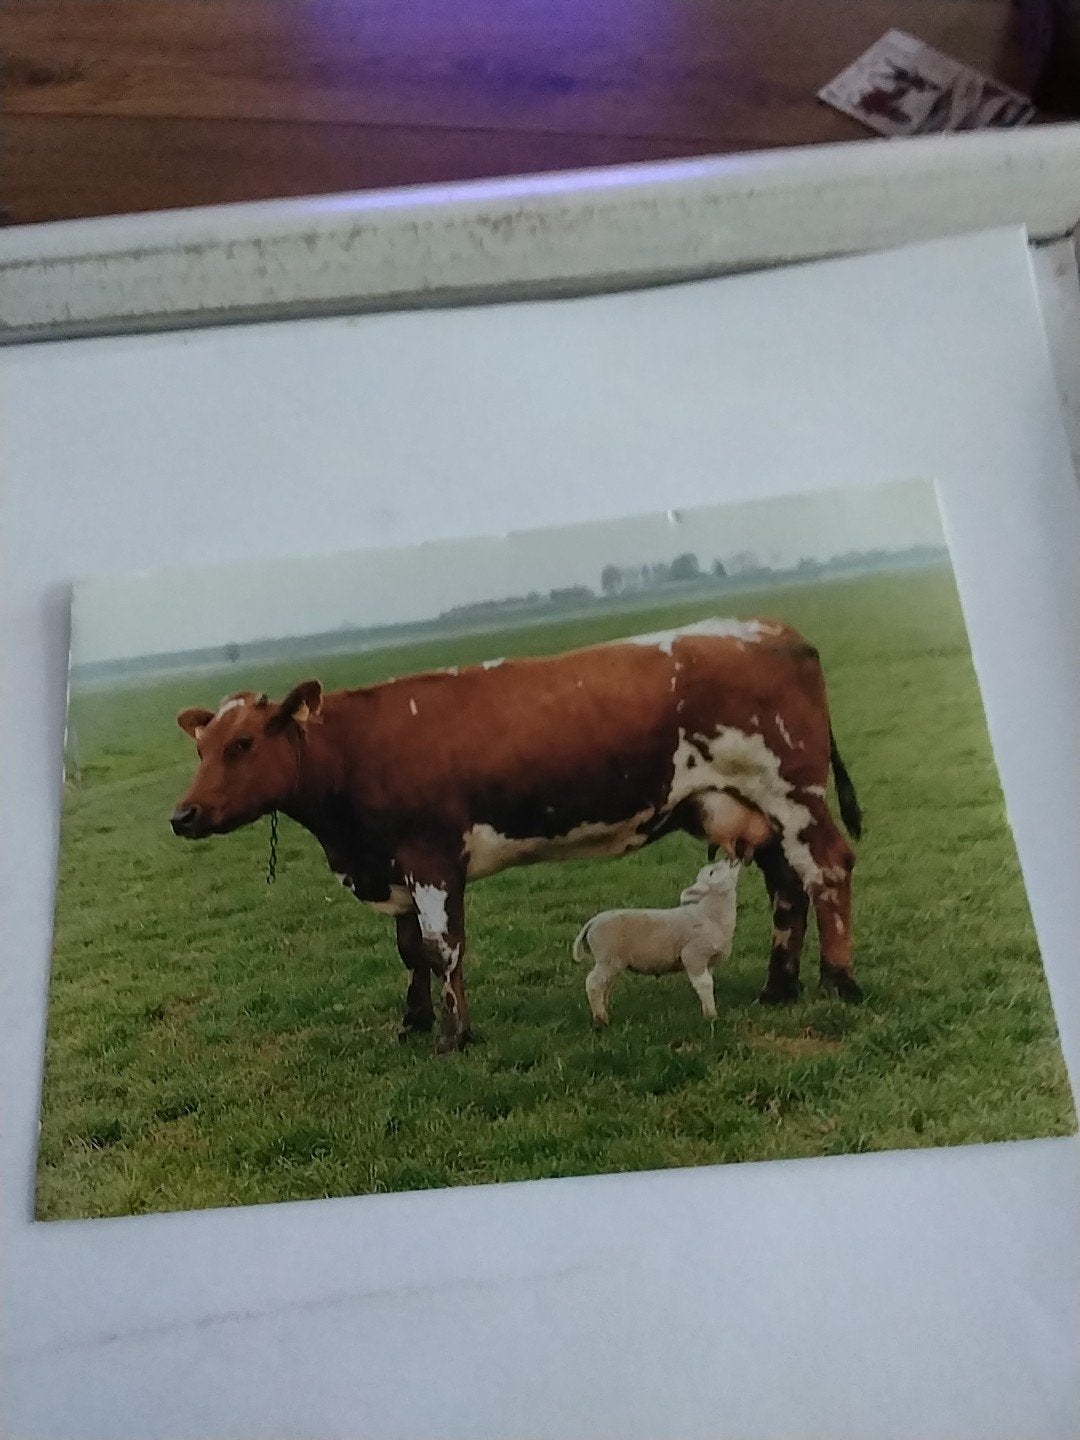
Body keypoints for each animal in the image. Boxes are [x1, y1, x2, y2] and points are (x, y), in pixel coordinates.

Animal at [170, 618, 863, 1052]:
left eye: (243, 742)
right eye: (201, 746)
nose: (182, 816)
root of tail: (769, 628)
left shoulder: (430, 857)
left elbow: (443, 948)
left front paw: (455, 1037)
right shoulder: (393, 867)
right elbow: (409, 950)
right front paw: (413, 1023)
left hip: (791, 791)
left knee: (827, 868)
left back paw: (840, 982)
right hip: (746, 807)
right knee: (786, 887)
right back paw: (778, 989)